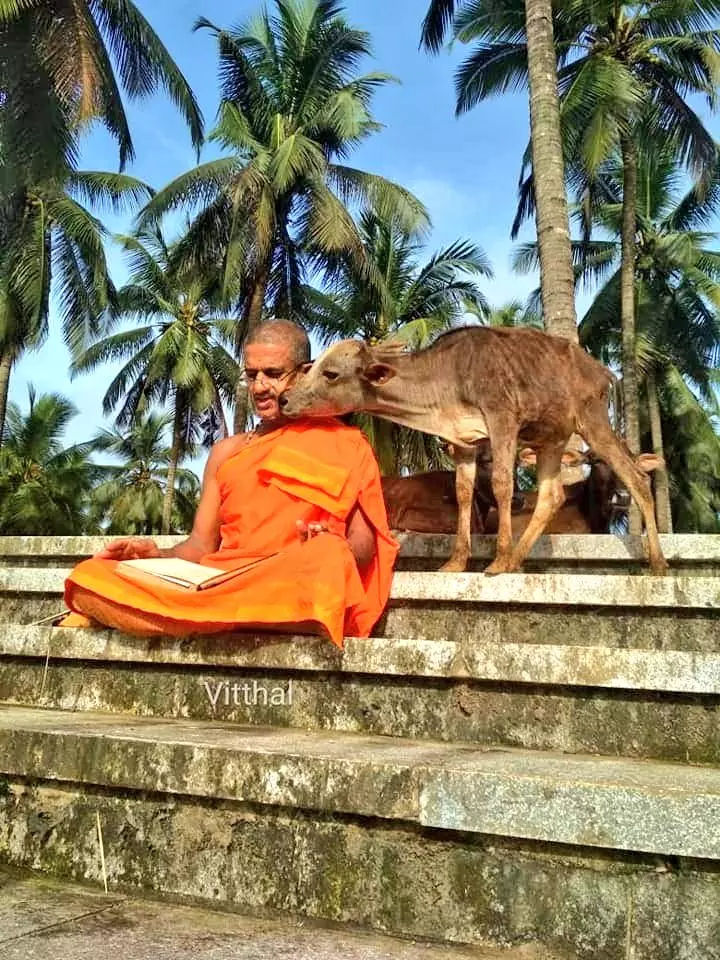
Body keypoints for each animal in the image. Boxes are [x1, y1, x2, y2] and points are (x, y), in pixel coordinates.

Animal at [282, 326, 668, 572]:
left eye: (331, 373)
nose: (285, 398)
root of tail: (602, 371)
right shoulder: (462, 441)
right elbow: (464, 492)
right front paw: (456, 562)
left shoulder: (502, 419)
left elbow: (502, 484)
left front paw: (497, 557)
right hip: (551, 440)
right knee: (552, 495)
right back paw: (515, 561)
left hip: (592, 420)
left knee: (637, 477)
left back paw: (658, 563)